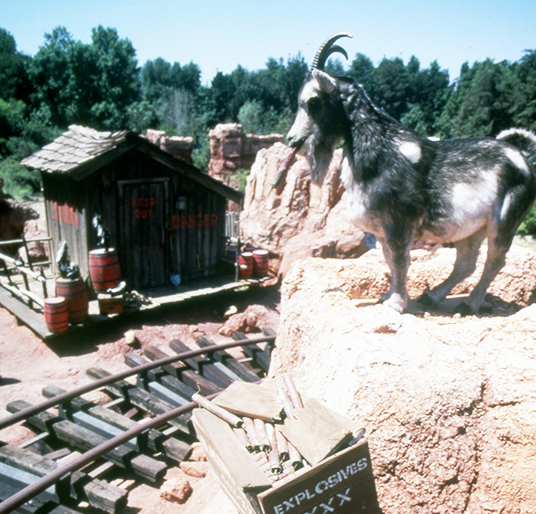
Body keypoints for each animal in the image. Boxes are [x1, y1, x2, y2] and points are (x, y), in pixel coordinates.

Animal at [286, 33, 536, 312]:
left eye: (314, 101)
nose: (292, 140)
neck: (380, 149)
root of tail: (524, 158)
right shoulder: (382, 230)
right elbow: (390, 260)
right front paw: (388, 296)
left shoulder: (398, 222)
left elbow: (399, 260)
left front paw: (396, 304)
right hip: (472, 228)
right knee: (466, 263)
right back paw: (433, 296)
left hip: (504, 221)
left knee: (494, 261)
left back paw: (469, 303)